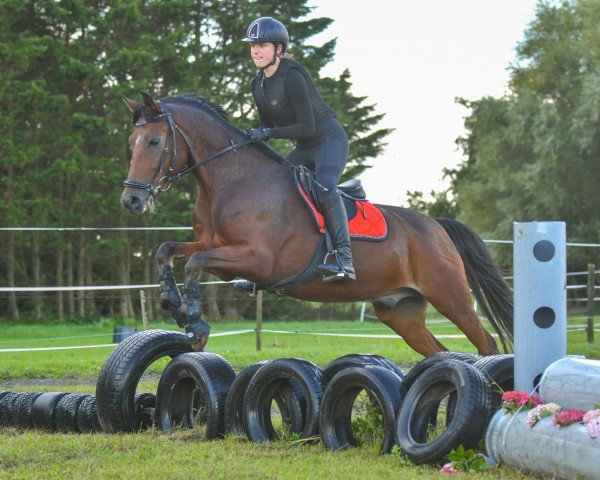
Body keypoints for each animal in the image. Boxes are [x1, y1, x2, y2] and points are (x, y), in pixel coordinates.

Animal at [119, 93, 512, 356]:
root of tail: (437, 226)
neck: (231, 181)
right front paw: (172, 302)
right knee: (440, 353)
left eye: (154, 141)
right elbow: (168, 250)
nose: (131, 201)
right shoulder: (220, 252)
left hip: (450, 295)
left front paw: (194, 321)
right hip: (402, 313)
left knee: (487, 343)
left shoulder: (256, 259)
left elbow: (194, 263)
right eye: (131, 143)